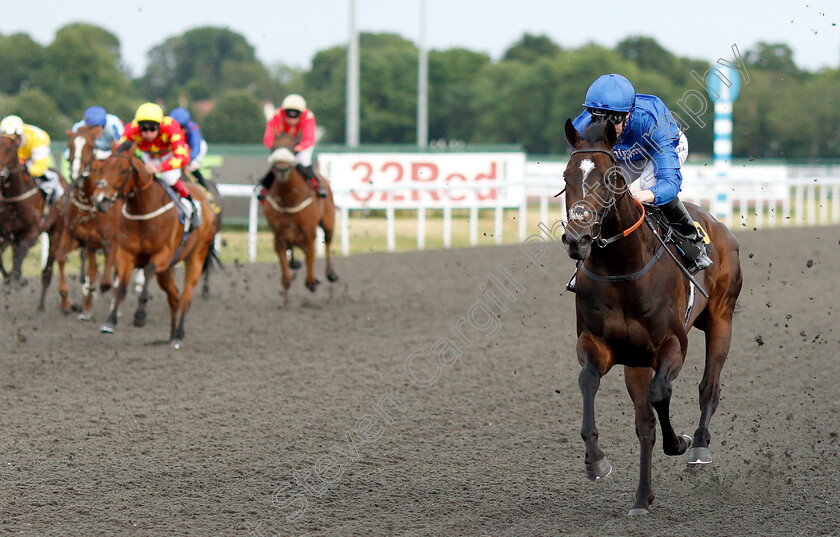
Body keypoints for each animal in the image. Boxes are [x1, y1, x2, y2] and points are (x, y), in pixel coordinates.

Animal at [0, 134, 65, 310]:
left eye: (7, 149)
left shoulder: (32, 232)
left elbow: (21, 253)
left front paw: (14, 282)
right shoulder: (6, 233)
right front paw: (10, 279)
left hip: (56, 232)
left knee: (47, 271)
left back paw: (41, 306)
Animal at [53, 126, 120, 318]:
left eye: (90, 147)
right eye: (69, 146)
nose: (76, 172)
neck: (88, 202)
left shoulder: (108, 240)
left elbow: (104, 273)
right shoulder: (75, 236)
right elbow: (61, 257)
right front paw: (66, 300)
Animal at [92, 147, 217, 348]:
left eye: (124, 170)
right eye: (102, 168)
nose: (100, 199)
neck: (143, 210)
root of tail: (205, 199)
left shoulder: (163, 255)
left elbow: (148, 269)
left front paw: (140, 315)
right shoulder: (126, 254)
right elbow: (121, 288)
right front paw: (110, 321)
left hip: (196, 257)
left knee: (185, 298)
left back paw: (179, 335)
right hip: (166, 271)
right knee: (174, 296)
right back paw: (172, 334)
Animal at [266, 134, 338, 306]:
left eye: (293, 147)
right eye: (273, 147)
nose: (282, 170)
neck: (289, 199)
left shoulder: (308, 237)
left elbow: (310, 274)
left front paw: (314, 281)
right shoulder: (279, 239)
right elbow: (286, 277)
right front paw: (285, 302)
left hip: (329, 223)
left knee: (328, 242)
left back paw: (330, 273)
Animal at [556, 119, 740, 512]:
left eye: (611, 177)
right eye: (566, 176)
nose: (577, 239)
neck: (622, 267)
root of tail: (718, 224)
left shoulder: (672, 345)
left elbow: (660, 394)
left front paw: (680, 442)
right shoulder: (598, 344)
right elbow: (588, 382)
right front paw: (596, 460)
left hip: (722, 317)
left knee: (709, 386)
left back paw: (699, 446)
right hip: (635, 361)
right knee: (644, 425)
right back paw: (642, 498)